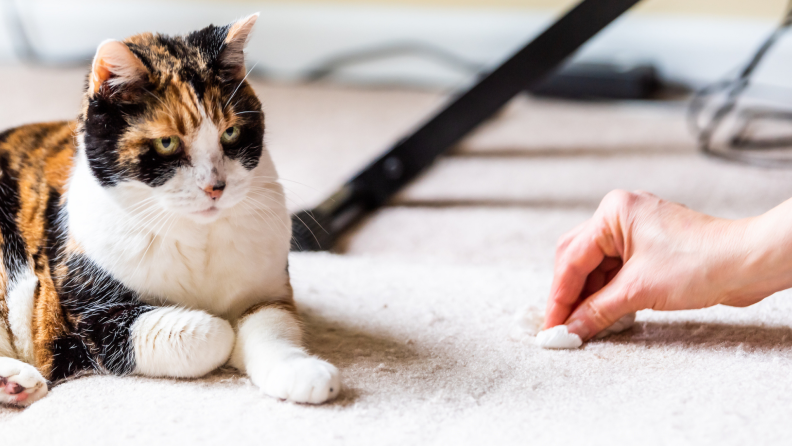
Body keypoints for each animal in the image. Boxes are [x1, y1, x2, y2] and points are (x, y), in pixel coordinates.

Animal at [0, 13, 338, 406]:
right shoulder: (92, 317)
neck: (198, 238)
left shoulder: (267, 292)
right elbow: (214, 333)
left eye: (231, 133)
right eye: (166, 142)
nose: (215, 187)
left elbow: (272, 328)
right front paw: (226, 336)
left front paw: (303, 372)